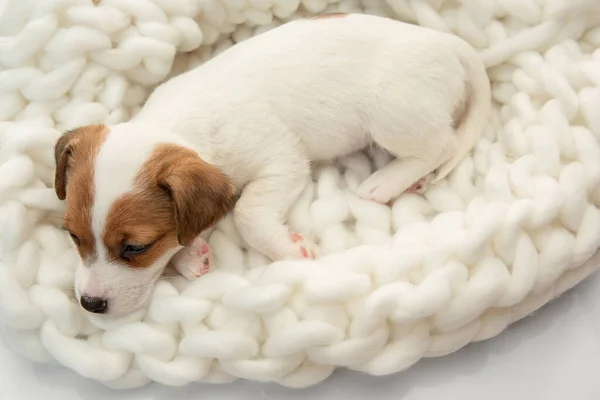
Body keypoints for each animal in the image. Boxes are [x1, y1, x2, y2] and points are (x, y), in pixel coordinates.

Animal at [55, 13, 488, 316]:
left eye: (136, 247)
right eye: (73, 236)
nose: (89, 305)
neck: (177, 123)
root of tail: (448, 42)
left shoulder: (282, 160)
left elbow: (247, 214)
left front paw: (289, 251)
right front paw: (190, 254)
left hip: (392, 114)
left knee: (442, 144)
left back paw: (387, 181)